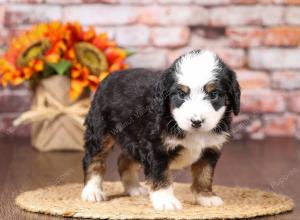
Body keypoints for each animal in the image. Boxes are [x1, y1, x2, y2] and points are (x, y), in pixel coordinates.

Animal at [81, 49, 240, 211]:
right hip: (100, 131)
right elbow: (160, 174)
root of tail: (111, 75)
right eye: (181, 94)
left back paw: (134, 188)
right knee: (94, 159)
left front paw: (206, 196)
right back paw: (92, 191)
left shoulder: (210, 149)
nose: (196, 122)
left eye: (213, 95)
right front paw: (166, 200)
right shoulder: (156, 147)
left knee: (123, 160)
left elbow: (204, 174)